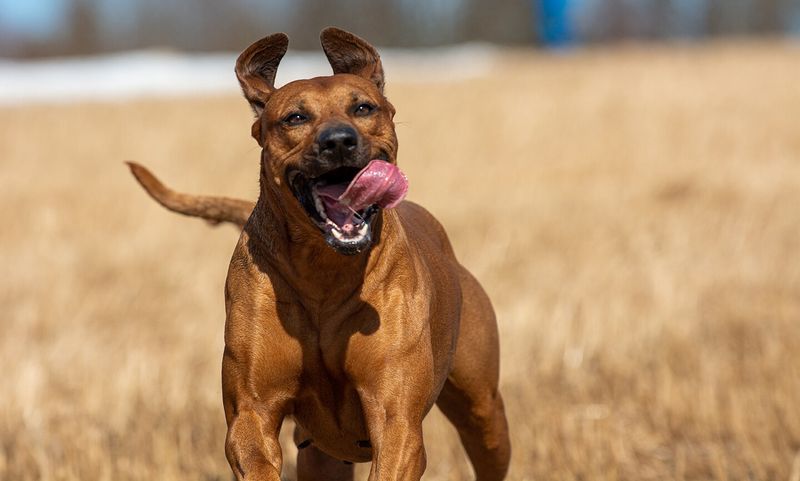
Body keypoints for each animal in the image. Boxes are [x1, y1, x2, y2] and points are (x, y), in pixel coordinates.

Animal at [128, 28, 510, 480]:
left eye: (363, 108)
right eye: (295, 118)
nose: (339, 140)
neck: (324, 270)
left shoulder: (396, 417)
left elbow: (396, 434)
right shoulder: (251, 411)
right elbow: (254, 445)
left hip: (484, 411)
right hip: (321, 455)